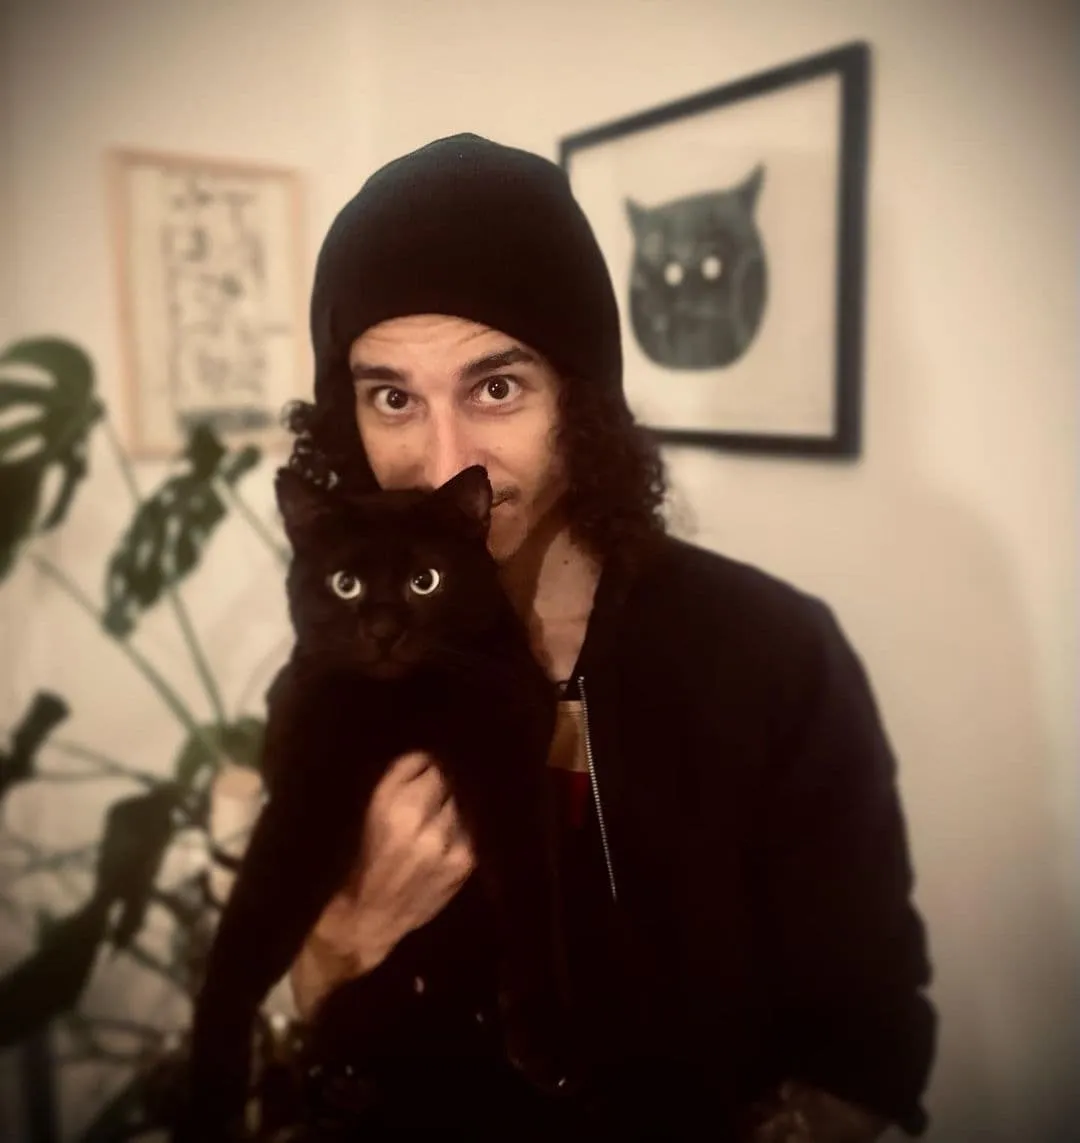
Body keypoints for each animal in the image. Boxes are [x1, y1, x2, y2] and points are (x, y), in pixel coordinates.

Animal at [182, 466, 573, 1143]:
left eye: (426, 581)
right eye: (345, 584)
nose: (384, 631)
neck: (403, 708)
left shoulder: (508, 780)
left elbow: (529, 902)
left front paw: (542, 1041)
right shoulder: (307, 793)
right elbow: (250, 926)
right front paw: (210, 1091)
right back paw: (344, 1081)